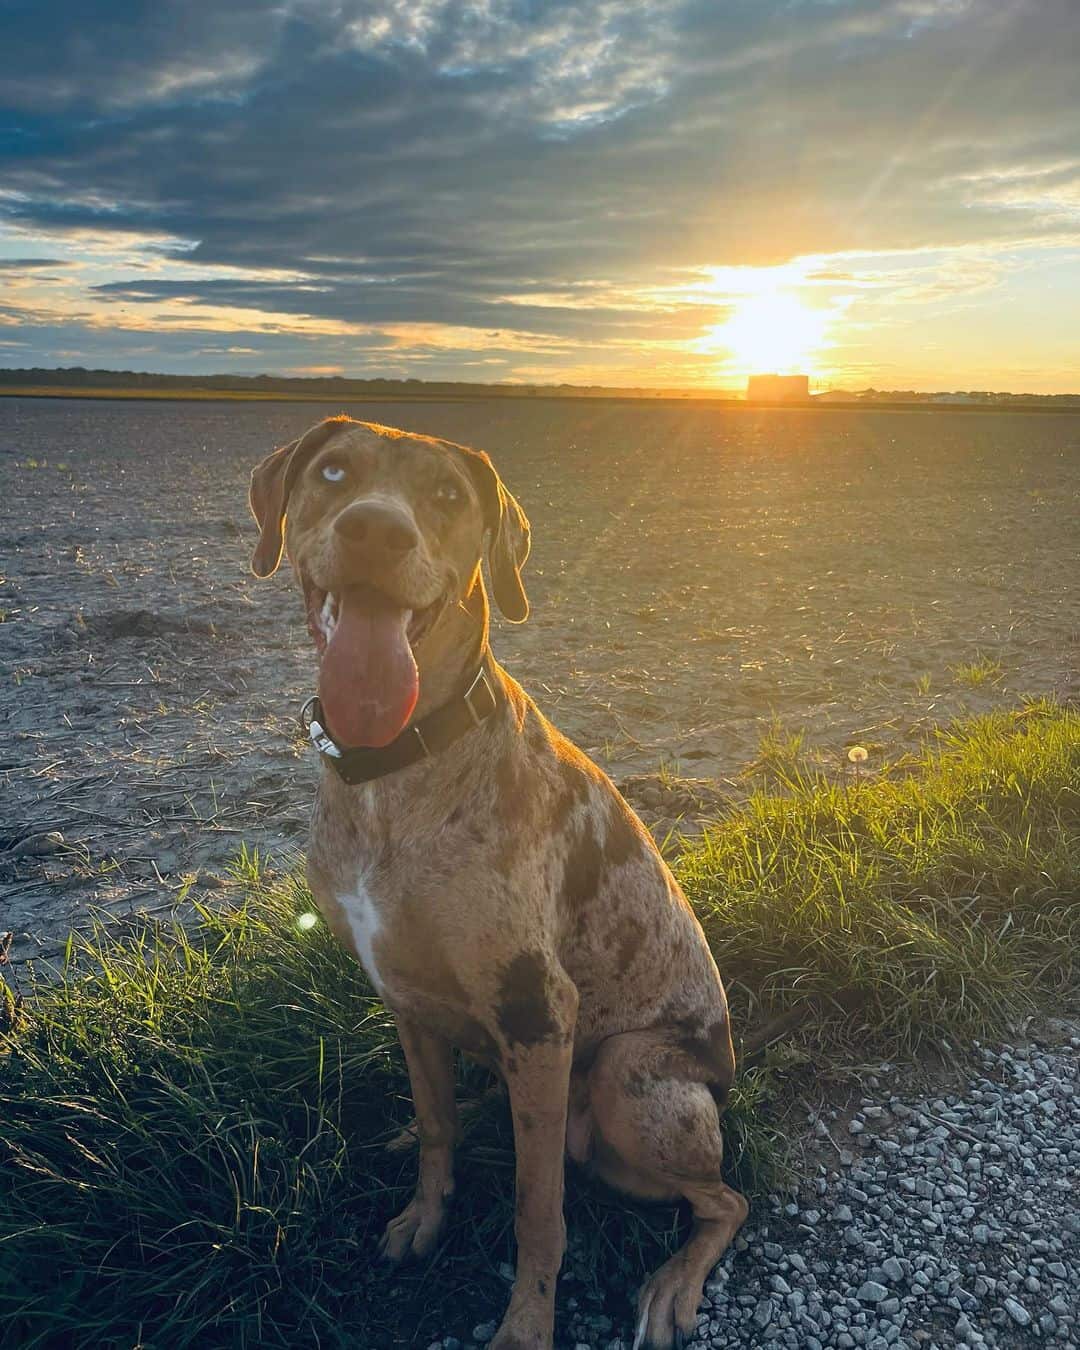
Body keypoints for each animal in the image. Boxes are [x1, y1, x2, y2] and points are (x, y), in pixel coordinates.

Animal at [248, 418, 745, 1350]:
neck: (396, 769)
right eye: (332, 473)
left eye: (447, 495)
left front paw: (525, 1323)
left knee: (724, 1199)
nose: (377, 530)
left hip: (628, 1081)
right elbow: (439, 1126)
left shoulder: (537, 1010)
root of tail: (728, 1072)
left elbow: (536, 1205)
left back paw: (672, 1284)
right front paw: (423, 1213)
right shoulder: (402, 993)